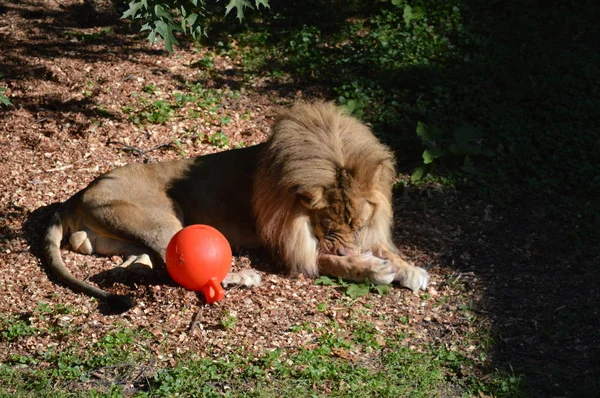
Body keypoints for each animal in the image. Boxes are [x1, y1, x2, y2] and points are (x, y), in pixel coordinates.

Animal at [44, 100, 428, 310]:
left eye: (360, 225)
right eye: (328, 226)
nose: (352, 249)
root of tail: (76, 195)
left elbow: (385, 248)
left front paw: (409, 268)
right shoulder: (282, 247)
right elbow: (329, 261)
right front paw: (372, 269)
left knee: (142, 263)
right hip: (163, 217)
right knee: (178, 264)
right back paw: (242, 275)